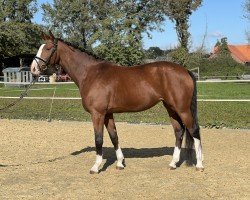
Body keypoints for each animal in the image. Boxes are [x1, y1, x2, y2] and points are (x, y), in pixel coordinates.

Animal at [30, 31, 204, 173]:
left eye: (48, 48)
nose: (33, 69)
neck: (91, 73)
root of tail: (185, 71)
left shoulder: (97, 114)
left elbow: (98, 139)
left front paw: (96, 166)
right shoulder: (108, 114)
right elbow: (114, 136)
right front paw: (120, 163)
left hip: (182, 109)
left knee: (194, 130)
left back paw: (200, 165)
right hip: (171, 108)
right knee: (179, 131)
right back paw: (173, 163)